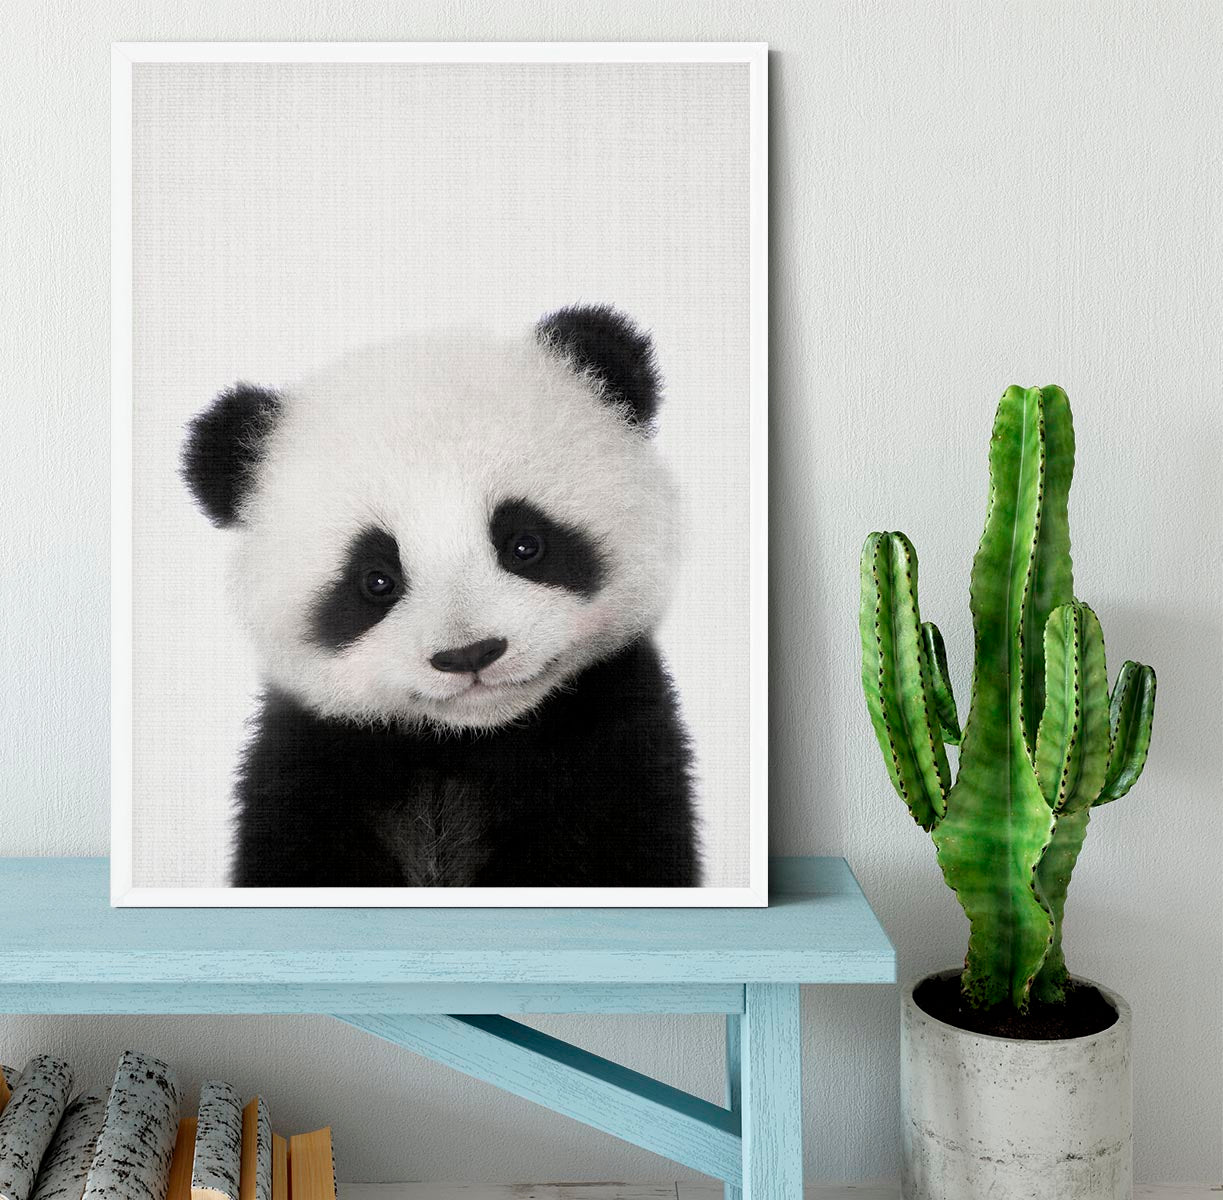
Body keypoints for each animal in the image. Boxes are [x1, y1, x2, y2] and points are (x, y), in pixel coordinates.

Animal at [181, 305, 700, 888]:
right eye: (376, 580)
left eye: (525, 544)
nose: (469, 654)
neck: (464, 743)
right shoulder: (311, 767)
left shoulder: (613, 750)